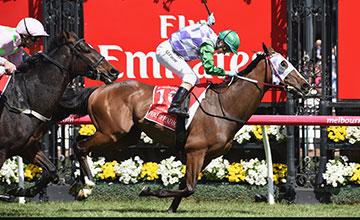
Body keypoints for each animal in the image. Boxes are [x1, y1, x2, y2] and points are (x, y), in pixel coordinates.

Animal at [0, 29, 119, 199]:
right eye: (86, 49)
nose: (113, 71)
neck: (24, 100)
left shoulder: (27, 147)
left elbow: (52, 170)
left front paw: (21, 190)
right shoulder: (2, 150)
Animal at [72, 43, 310, 213]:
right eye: (283, 64)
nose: (306, 85)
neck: (224, 105)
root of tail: (98, 90)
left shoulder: (207, 155)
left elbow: (183, 186)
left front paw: (170, 208)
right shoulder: (195, 150)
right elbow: (189, 187)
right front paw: (148, 190)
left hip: (125, 136)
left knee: (82, 145)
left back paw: (79, 187)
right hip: (112, 132)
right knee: (80, 146)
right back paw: (86, 186)